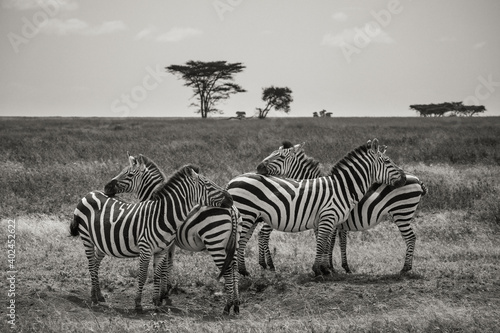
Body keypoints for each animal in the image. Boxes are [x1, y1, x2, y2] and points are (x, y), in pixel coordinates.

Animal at [70, 163, 232, 312]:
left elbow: (158, 274)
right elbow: (143, 275)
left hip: (102, 242)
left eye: (128, 173)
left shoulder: (162, 250)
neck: (162, 215)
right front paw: (139, 303)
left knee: (95, 263)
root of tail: (89, 194)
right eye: (208, 184)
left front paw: (156, 302)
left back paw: (98, 295)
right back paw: (94, 298)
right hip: (87, 238)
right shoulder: (146, 249)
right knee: (92, 264)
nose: (230, 198)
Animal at [228, 137, 406, 274]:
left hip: (252, 217)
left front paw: (327, 268)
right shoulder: (328, 218)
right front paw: (322, 269)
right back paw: (252, 269)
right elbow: (323, 243)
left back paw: (246, 271)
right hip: (248, 215)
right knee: (248, 239)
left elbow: (326, 243)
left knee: (246, 240)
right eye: (387, 161)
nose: (404, 177)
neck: (342, 187)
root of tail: (231, 181)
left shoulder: (327, 221)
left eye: (280, 156)